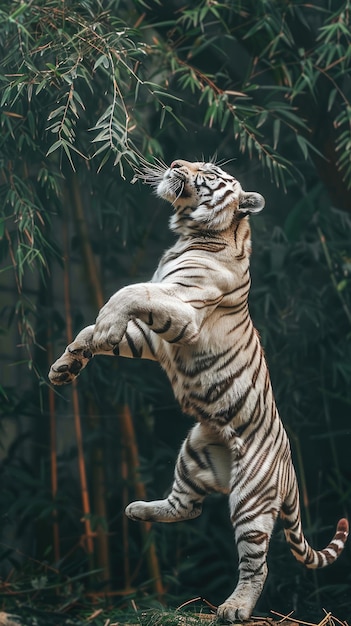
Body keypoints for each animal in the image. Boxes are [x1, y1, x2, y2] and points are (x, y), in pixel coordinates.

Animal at [48, 157, 350, 620]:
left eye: (207, 171)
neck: (192, 234)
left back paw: (234, 609)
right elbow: (99, 331)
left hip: (249, 501)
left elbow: (128, 291)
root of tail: (289, 472)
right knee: (186, 506)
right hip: (194, 451)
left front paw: (104, 324)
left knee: (256, 564)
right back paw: (137, 509)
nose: (175, 163)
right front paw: (66, 366)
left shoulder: (182, 309)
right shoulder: (156, 335)